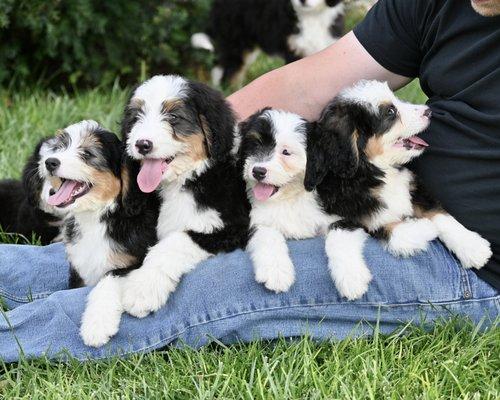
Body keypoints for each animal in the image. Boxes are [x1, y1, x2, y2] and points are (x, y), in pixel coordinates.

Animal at [117, 75, 250, 318]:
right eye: (137, 116)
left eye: (173, 117)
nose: (142, 144)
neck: (190, 178)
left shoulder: (235, 226)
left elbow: (176, 240)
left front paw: (142, 290)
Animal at [239, 108, 340, 292]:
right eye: (256, 144)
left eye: (286, 152)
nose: (258, 171)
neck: (289, 198)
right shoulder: (255, 221)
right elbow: (269, 235)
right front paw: (276, 273)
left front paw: (351, 278)